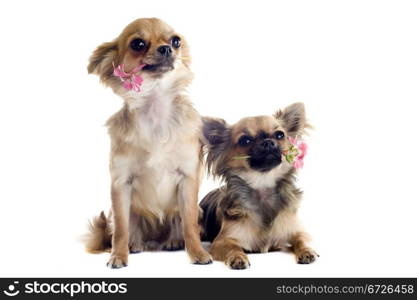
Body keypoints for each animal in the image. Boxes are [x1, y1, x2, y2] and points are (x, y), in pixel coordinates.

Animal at [83, 18, 211, 268]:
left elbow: (189, 223)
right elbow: (121, 229)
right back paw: (134, 245)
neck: (155, 108)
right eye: (138, 44)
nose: (167, 48)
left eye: (176, 41)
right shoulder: (121, 184)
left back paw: (174, 242)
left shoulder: (188, 179)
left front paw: (197, 253)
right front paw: (118, 255)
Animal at [200, 103, 316, 270]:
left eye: (280, 135)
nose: (267, 142)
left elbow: (302, 239)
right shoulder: (222, 241)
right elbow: (233, 247)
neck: (263, 186)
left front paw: (307, 251)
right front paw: (238, 257)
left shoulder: (295, 231)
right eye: (245, 140)